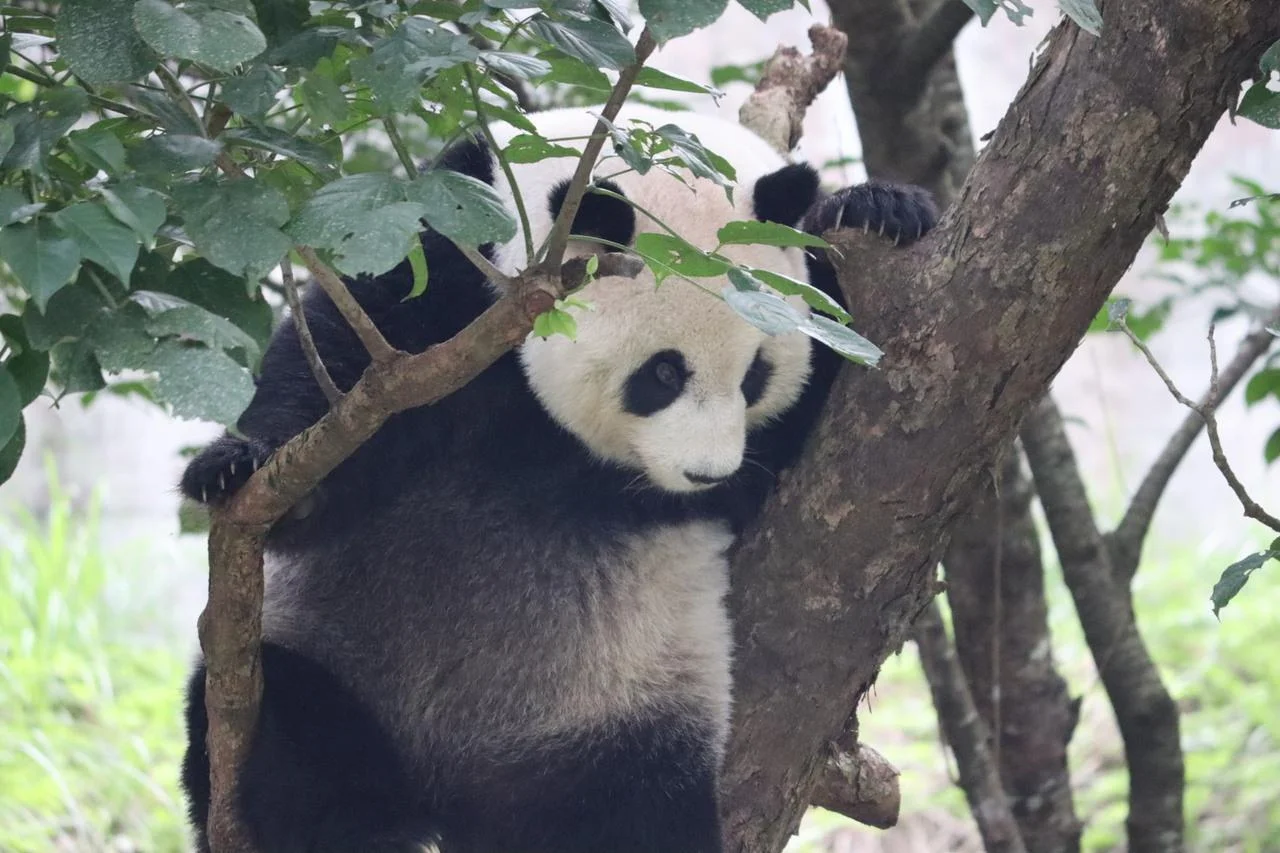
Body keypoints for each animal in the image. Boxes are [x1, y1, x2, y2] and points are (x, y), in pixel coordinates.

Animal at [178, 105, 935, 853]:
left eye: (755, 376)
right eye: (664, 373)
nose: (704, 473)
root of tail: (440, 784)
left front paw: (879, 208)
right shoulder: (446, 254)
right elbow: (336, 369)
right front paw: (239, 467)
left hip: (606, 717)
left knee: (615, 815)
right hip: (326, 658)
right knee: (300, 753)